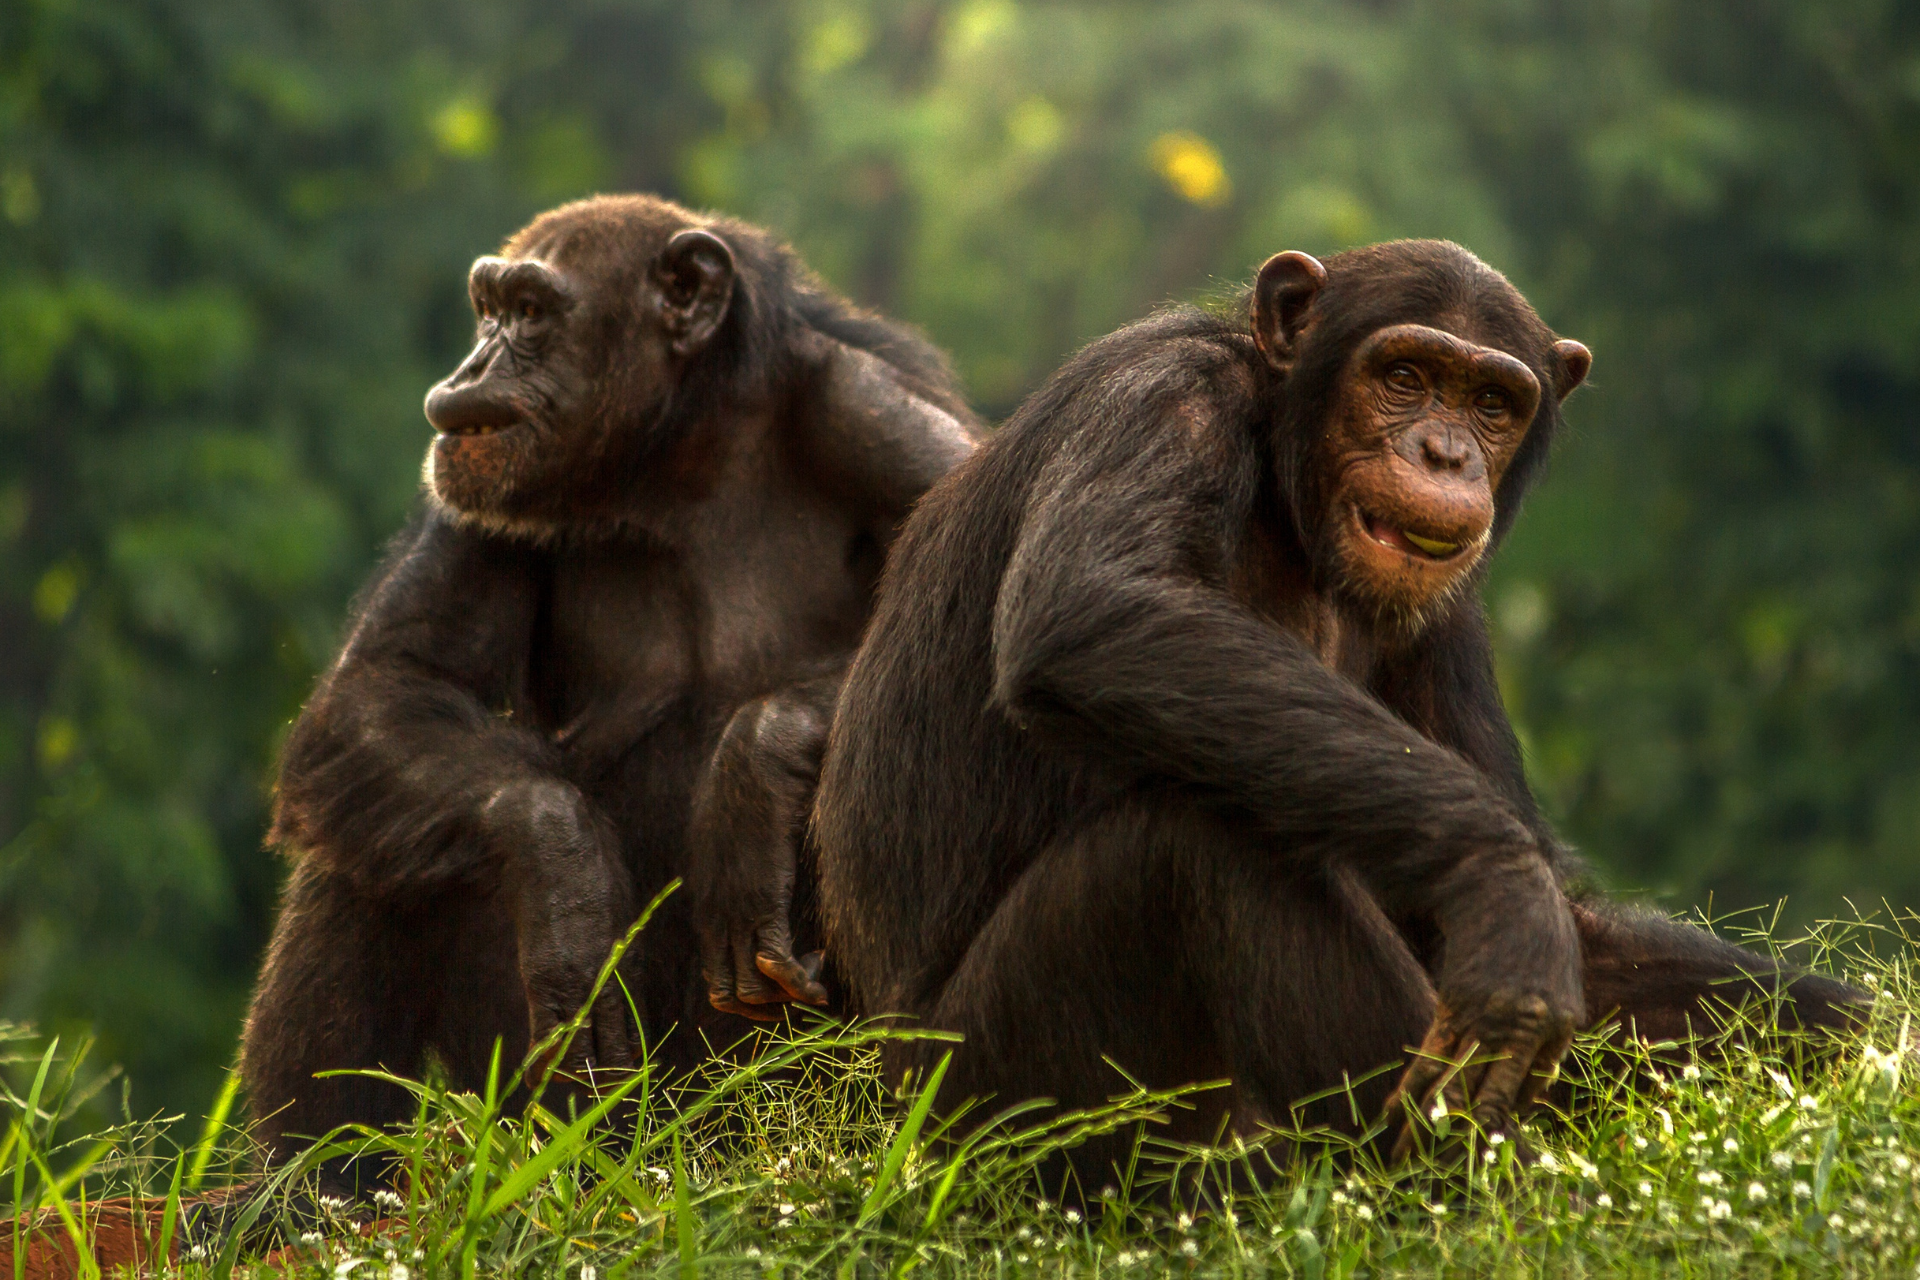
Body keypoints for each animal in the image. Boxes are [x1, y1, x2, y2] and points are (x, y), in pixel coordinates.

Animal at [240, 195, 983, 1189]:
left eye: (532, 314)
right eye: (488, 309)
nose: (472, 367)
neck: (681, 452)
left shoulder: (878, 414)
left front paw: (755, 768)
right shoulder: (471, 483)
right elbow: (390, 682)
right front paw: (567, 872)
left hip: (767, 1105)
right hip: (538, 1107)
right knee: (368, 838)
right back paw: (308, 1186)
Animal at [810, 239, 1858, 1182]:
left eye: (1492, 403)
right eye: (1403, 376)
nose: (1444, 452)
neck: (1287, 493)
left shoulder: (1448, 616)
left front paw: (1837, 1030)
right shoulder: (1164, 400)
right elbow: (1098, 611)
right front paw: (1505, 885)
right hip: (1001, 1112)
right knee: (1201, 846)